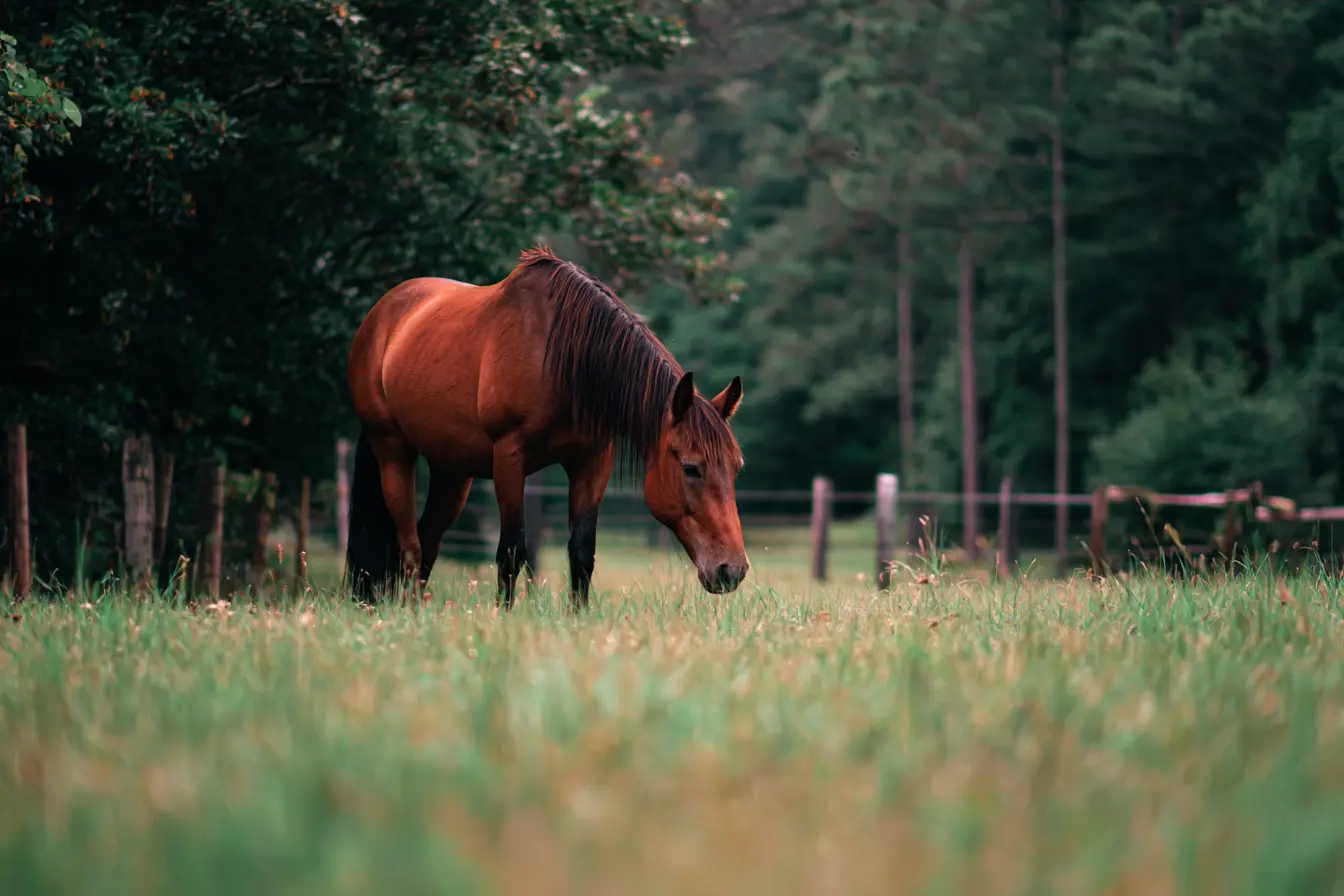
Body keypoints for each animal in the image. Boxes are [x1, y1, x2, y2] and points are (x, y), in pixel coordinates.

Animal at [343, 244, 750, 609]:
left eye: (736, 469)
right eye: (691, 468)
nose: (732, 570)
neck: (562, 360)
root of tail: (380, 317)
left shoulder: (592, 462)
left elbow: (582, 552)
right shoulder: (510, 457)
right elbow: (511, 551)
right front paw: (504, 619)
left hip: (452, 472)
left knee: (427, 541)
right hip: (393, 452)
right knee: (410, 545)